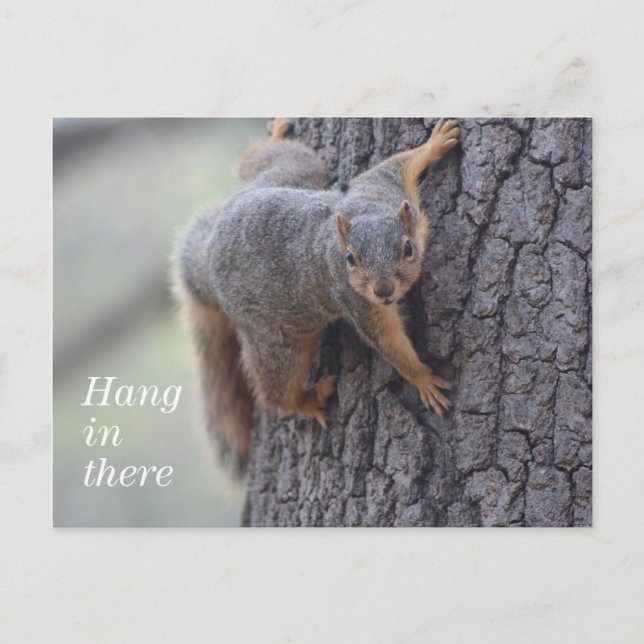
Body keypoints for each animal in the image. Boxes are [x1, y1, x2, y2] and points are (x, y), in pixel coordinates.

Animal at [175, 117, 460, 473]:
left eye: (407, 249)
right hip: (277, 342)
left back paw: (275, 135)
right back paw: (306, 400)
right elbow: (388, 342)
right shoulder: (357, 302)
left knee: (264, 161)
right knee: (275, 391)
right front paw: (423, 379)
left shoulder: (382, 188)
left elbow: (396, 164)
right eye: (350, 259)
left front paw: (434, 143)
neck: (367, 213)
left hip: (290, 173)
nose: (383, 291)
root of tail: (208, 256)